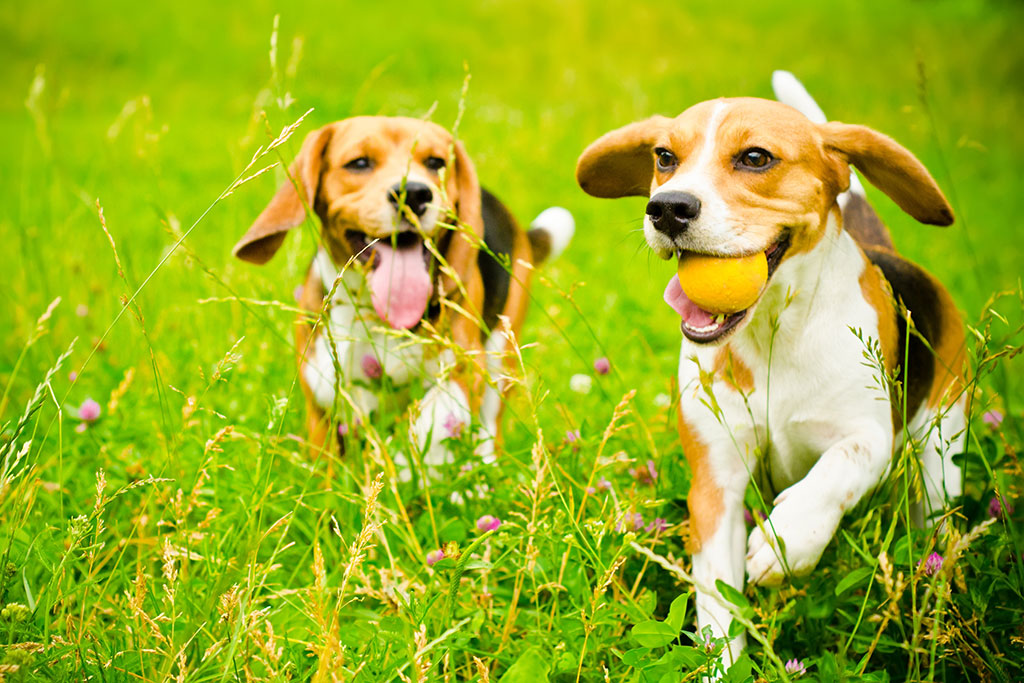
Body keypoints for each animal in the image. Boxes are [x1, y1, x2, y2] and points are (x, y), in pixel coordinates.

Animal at [234, 117, 581, 471]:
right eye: (359, 163)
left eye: (436, 163)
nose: (413, 193)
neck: (376, 315)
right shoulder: (324, 386)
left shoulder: (463, 371)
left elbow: (425, 424)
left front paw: (399, 468)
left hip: (500, 356)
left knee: (487, 428)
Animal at [577, 73, 966, 663]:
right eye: (665, 157)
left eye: (756, 157)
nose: (666, 207)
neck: (772, 334)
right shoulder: (715, 485)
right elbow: (717, 602)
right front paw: (723, 665)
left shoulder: (870, 436)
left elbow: (839, 465)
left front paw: (789, 541)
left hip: (942, 448)